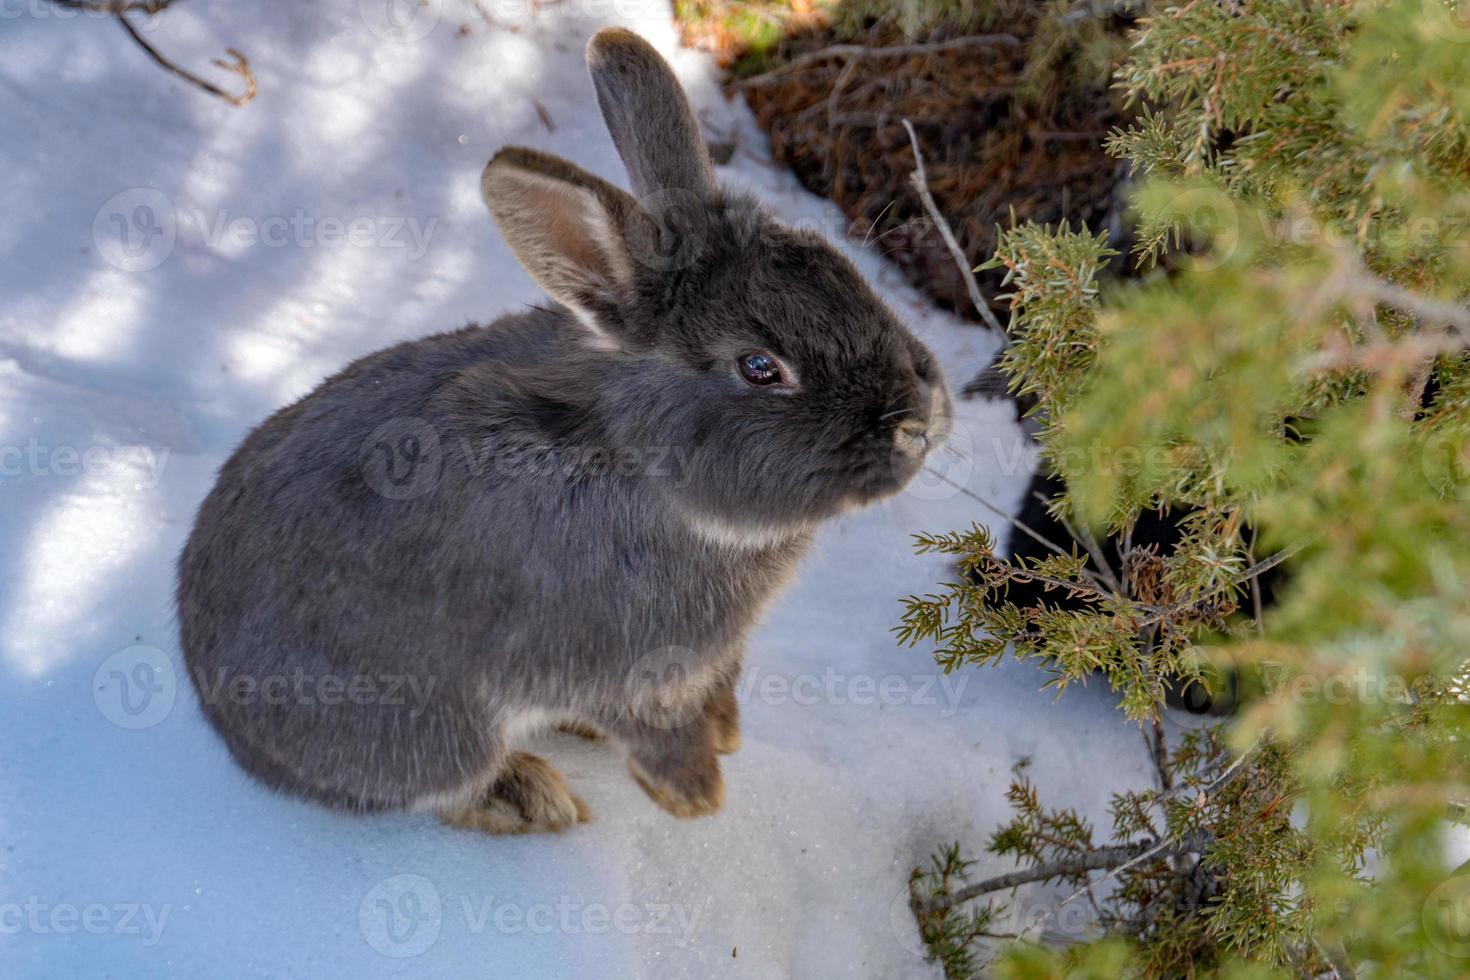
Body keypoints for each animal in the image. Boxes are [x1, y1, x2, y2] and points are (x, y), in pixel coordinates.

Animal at [177, 26, 952, 834]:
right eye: (760, 367)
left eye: (842, 271)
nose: (919, 425)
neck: (639, 462)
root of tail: (217, 706)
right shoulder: (620, 667)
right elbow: (655, 730)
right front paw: (696, 796)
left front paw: (726, 734)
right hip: (427, 726)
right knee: (450, 783)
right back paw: (532, 797)